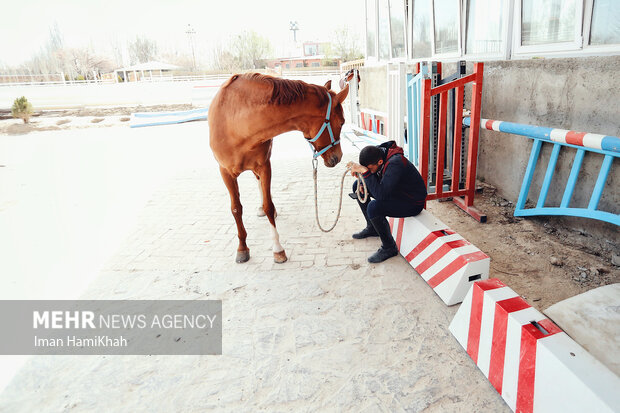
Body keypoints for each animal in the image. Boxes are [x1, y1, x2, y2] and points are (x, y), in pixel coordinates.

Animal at [208, 72, 348, 262]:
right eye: (342, 122)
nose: (338, 157)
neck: (236, 123)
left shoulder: (264, 166)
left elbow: (269, 206)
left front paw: (277, 249)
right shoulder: (225, 172)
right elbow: (236, 209)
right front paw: (242, 248)